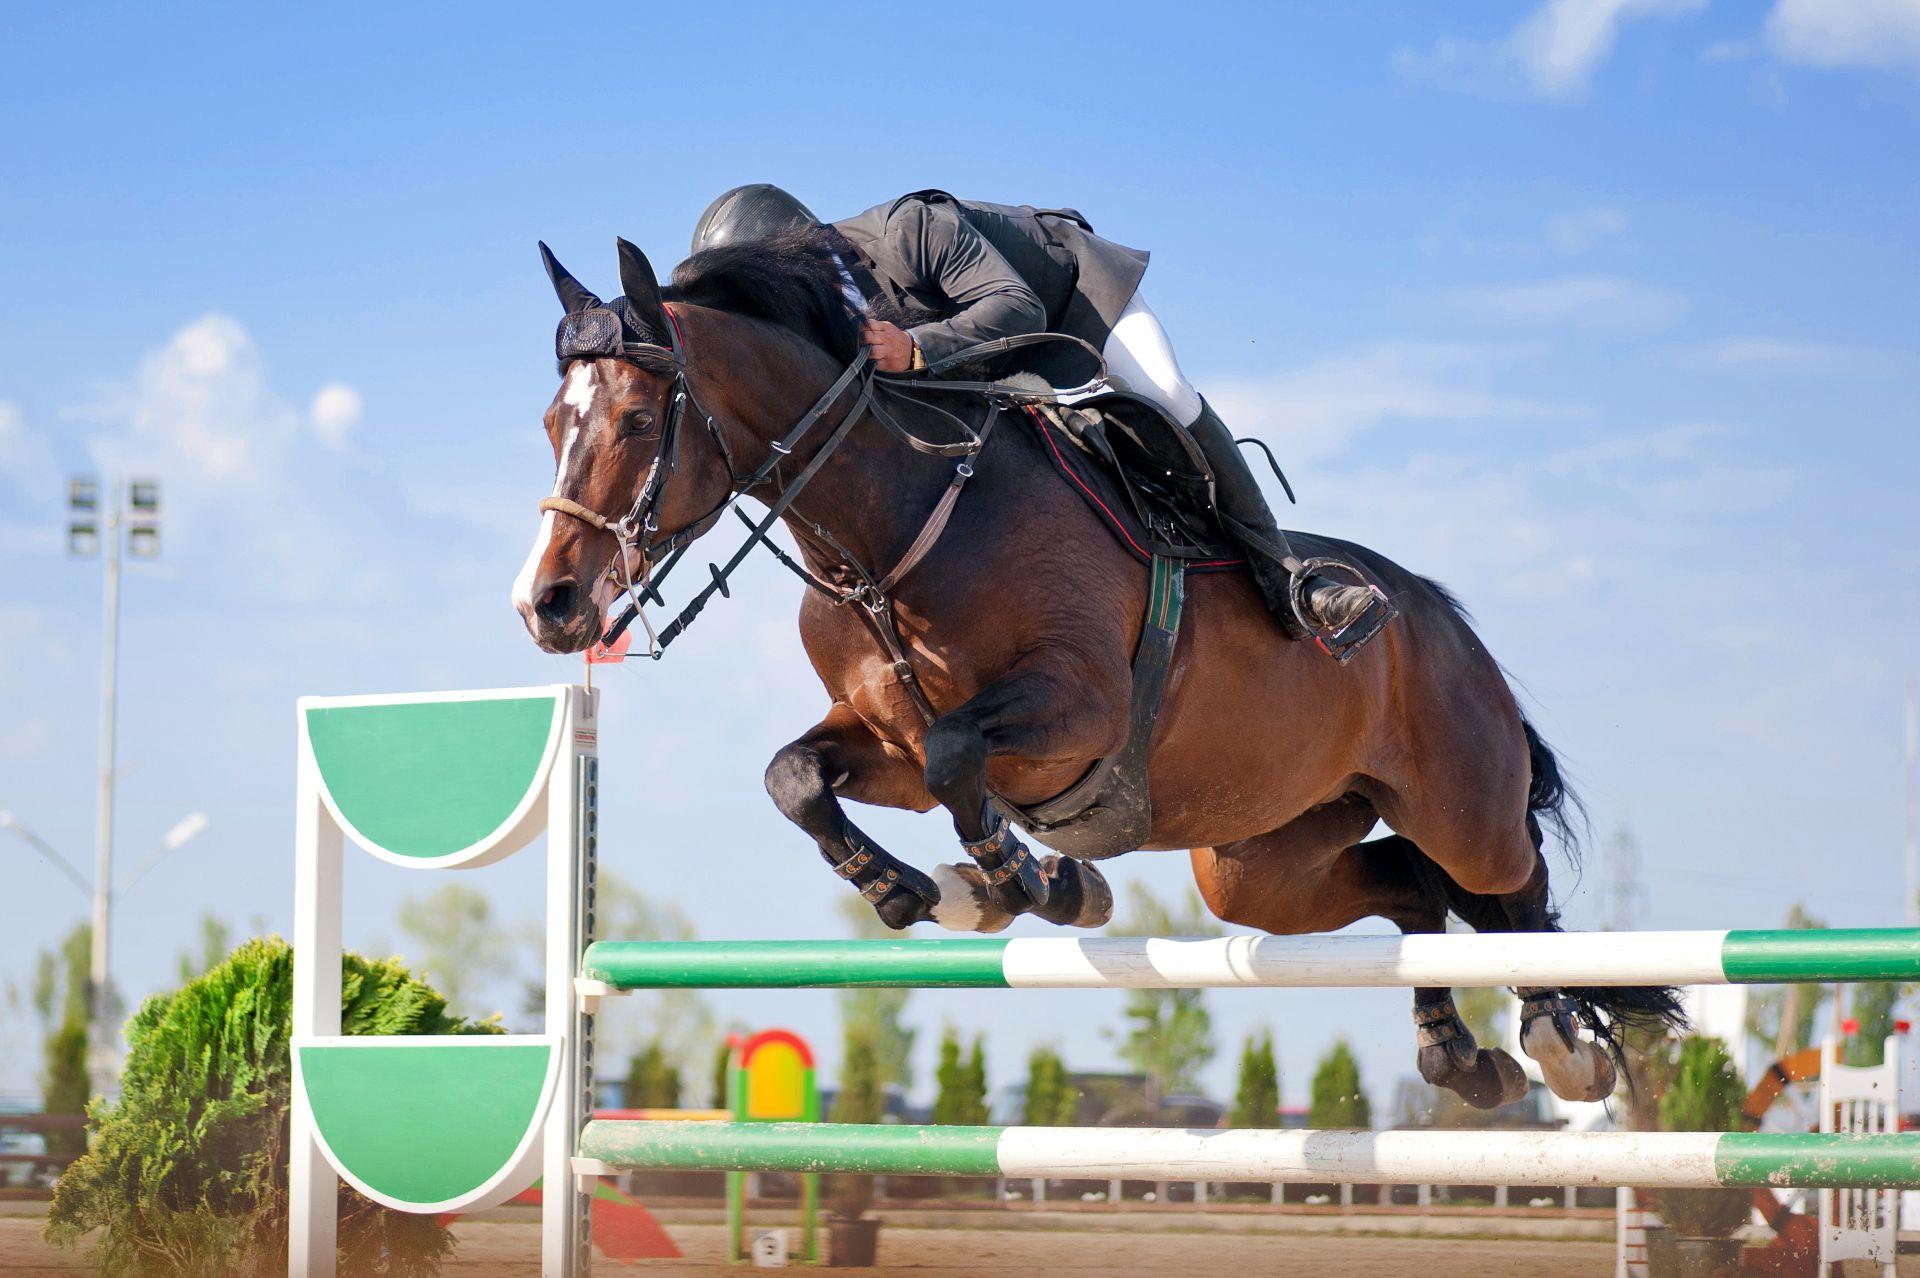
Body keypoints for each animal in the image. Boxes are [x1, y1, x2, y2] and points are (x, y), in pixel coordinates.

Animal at [512, 232, 1681, 1111]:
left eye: (633, 419)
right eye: (551, 421)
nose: (548, 605)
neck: (891, 528)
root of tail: (1442, 618)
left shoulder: (1073, 712)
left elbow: (956, 760)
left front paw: (1029, 883)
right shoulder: (878, 735)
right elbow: (799, 777)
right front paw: (916, 890)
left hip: (1462, 801)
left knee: (1510, 893)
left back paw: (1560, 1038)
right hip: (1258, 861)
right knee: (1413, 886)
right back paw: (1458, 1054)